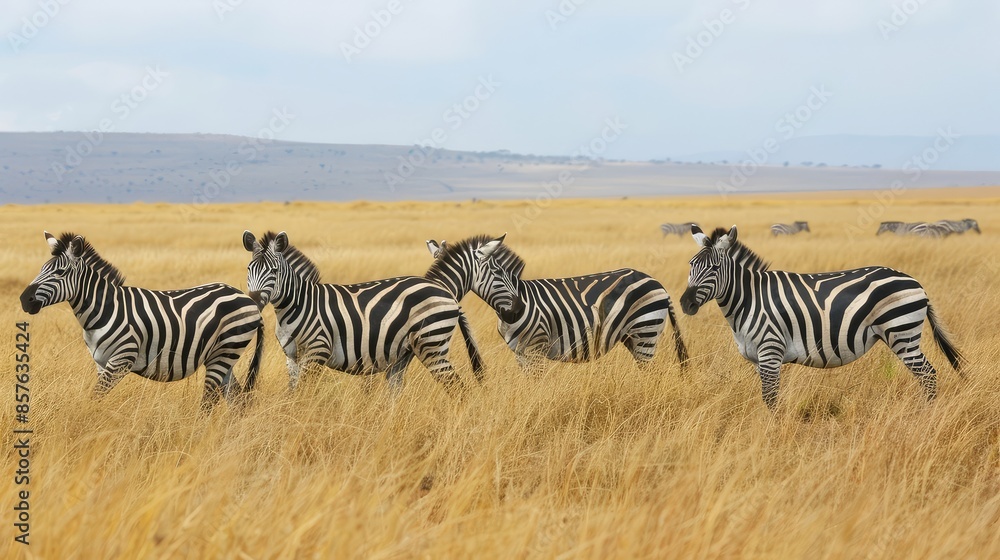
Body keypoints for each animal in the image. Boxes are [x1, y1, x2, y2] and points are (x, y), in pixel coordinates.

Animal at [19, 232, 264, 410]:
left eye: (60, 272)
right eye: (42, 269)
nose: (24, 300)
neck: (105, 309)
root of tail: (248, 300)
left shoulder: (121, 360)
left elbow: (93, 398)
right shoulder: (101, 363)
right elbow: (97, 400)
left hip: (226, 349)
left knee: (209, 402)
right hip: (223, 355)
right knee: (236, 400)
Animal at [242, 230, 483, 392]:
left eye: (274, 271)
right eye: (249, 269)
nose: (254, 300)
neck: (297, 304)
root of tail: (447, 293)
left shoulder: (317, 351)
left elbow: (304, 394)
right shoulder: (292, 357)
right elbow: (293, 393)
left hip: (432, 344)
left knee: (458, 388)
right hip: (406, 352)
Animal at [425, 234, 688, 368]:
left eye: (500, 272)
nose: (518, 308)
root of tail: (657, 282)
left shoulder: (535, 350)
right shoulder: (520, 353)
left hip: (646, 331)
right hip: (633, 337)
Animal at [680, 225, 963, 408]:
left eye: (715, 268)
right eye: (690, 265)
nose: (685, 303)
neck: (750, 299)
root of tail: (915, 281)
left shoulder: (770, 352)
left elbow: (771, 399)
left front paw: (772, 435)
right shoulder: (757, 360)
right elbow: (765, 397)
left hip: (902, 334)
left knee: (928, 375)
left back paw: (926, 416)